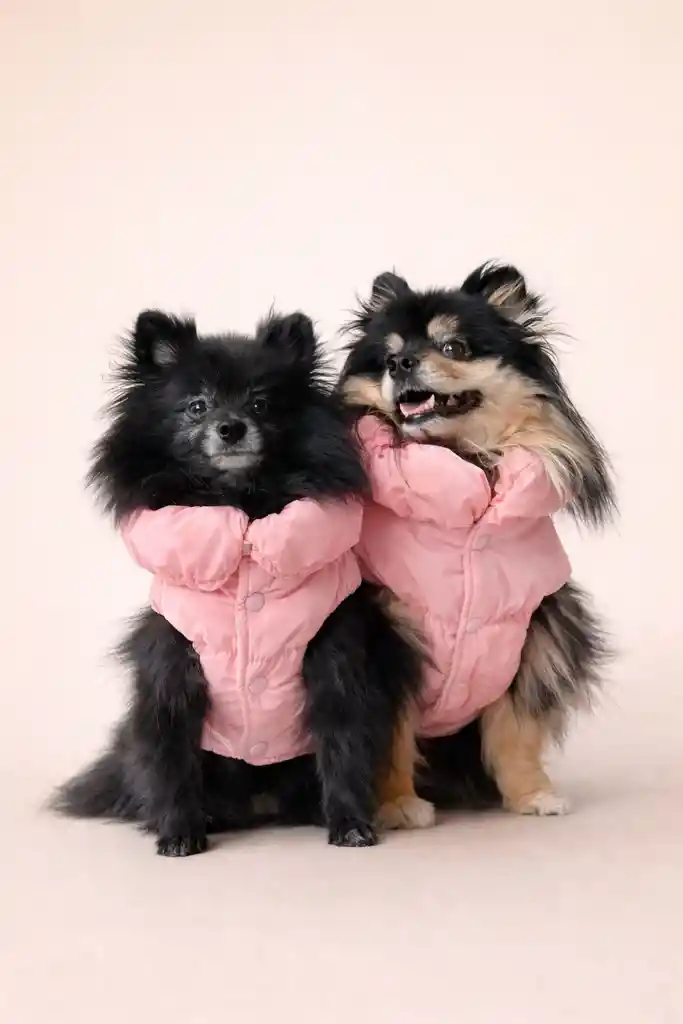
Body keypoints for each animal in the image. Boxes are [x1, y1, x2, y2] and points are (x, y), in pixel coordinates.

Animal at [52, 309, 422, 853]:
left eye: (261, 404)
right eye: (196, 406)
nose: (230, 426)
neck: (242, 509)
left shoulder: (334, 660)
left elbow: (344, 745)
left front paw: (350, 824)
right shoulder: (173, 669)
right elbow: (171, 756)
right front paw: (179, 832)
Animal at [339, 262, 616, 819]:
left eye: (454, 347)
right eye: (386, 356)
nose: (401, 363)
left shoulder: (530, 632)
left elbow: (516, 727)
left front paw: (531, 794)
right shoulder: (388, 632)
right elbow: (390, 730)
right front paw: (397, 804)